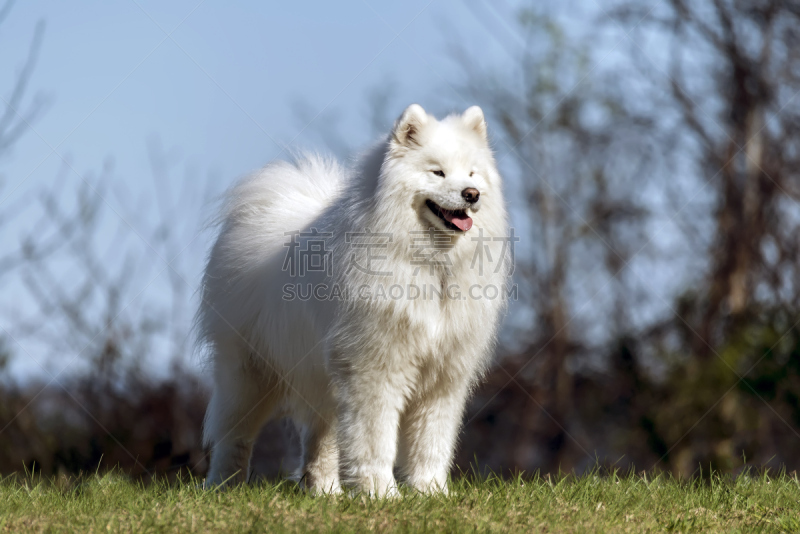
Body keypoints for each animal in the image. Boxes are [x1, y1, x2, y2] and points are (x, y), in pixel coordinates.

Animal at [200, 104, 512, 498]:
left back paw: (325, 492)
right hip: (248, 374)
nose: (471, 193)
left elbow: (431, 442)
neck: (432, 265)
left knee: (321, 440)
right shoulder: (375, 370)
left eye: (472, 173)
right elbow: (375, 439)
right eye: (437, 172)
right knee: (234, 436)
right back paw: (223, 487)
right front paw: (381, 493)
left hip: (323, 379)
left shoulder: (443, 378)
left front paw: (431, 493)